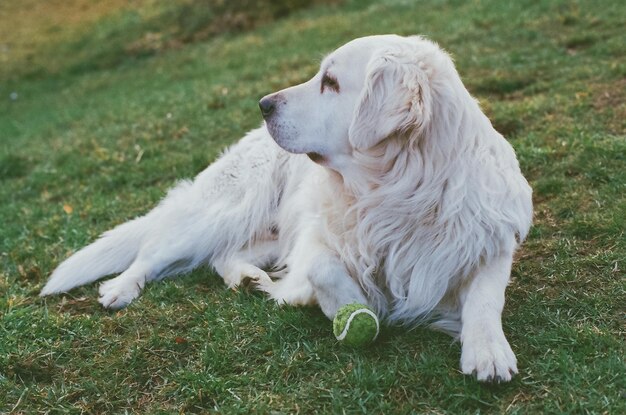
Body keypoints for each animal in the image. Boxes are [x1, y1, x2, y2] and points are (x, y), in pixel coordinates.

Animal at [41, 35, 532, 384]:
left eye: (331, 83)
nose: (263, 104)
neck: (396, 191)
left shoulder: (488, 244)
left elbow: (486, 296)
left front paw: (488, 350)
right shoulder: (315, 236)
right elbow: (324, 269)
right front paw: (349, 305)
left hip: (263, 234)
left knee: (223, 255)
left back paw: (245, 278)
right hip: (223, 211)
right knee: (152, 251)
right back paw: (120, 288)